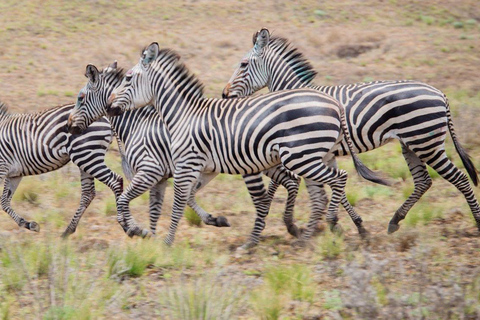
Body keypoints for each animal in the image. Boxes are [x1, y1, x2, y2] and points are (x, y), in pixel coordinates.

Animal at [0, 100, 124, 238]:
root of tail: (105, 116)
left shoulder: (3, 168)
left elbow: (3, 202)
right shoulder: (14, 174)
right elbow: (4, 202)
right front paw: (30, 225)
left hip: (86, 156)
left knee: (115, 181)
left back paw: (126, 225)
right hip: (86, 157)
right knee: (88, 193)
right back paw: (68, 231)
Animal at [66, 62, 232, 238]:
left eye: (81, 98)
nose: (68, 126)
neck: (137, 125)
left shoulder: (151, 171)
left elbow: (127, 201)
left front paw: (134, 229)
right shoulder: (165, 175)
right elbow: (156, 210)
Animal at [103, 40, 388, 245]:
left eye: (128, 78)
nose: (109, 106)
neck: (183, 115)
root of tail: (334, 104)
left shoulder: (184, 166)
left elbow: (176, 204)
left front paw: (163, 242)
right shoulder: (200, 168)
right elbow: (182, 200)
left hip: (301, 157)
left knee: (339, 179)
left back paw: (329, 222)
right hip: (311, 156)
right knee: (321, 192)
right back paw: (308, 236)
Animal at [222, 27, 480, 234]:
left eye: (243, 64)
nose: (224, 94)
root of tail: (440, 93)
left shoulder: (304, 150)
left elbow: (289, 182)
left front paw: (285, 217)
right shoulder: (322, 154)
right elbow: (334, 187)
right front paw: (354, 224)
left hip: (427, 143)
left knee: (459, 178)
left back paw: (476, 222)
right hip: (411, 143)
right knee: (424, 182)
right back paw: (395, 220)